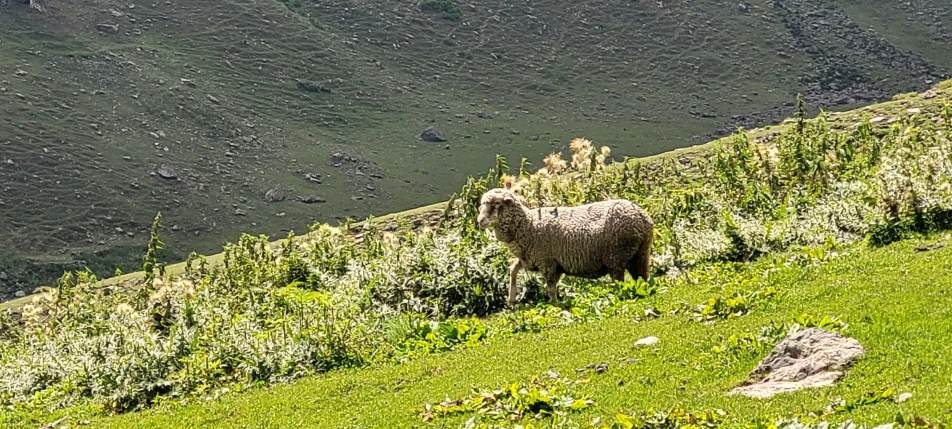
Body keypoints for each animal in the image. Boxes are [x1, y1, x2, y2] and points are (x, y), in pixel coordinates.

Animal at [476, 187, 656, 304]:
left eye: (497, 203)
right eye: (481, 205)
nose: (480, 221)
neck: (527, 225)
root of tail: (642, 217)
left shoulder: (548, 262)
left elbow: (550, 288)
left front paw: (555, 305)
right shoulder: (530, 258)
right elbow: (513, 269)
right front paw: (512, 299)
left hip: (616, 256)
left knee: (620, 282)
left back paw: (617, 296)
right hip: (639, 253)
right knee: (642, 277)